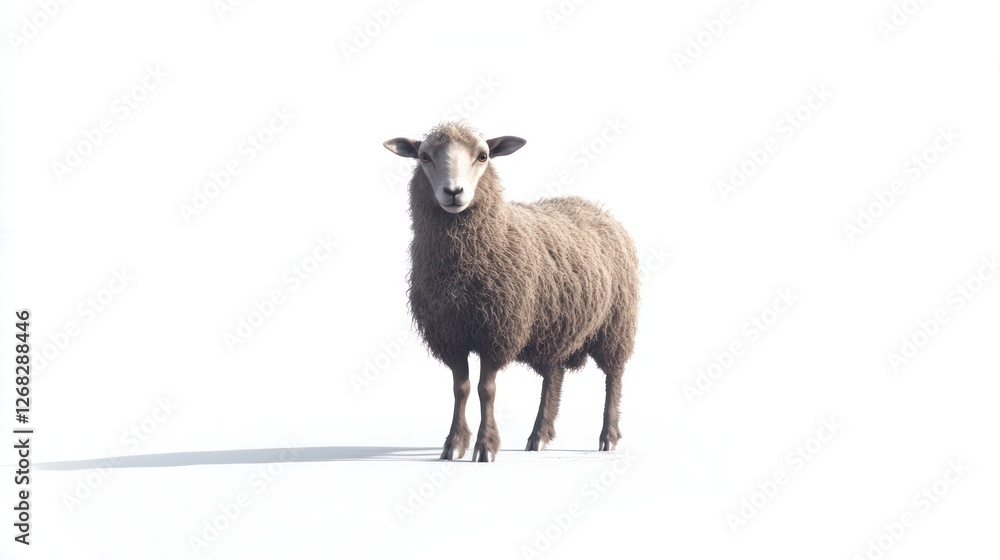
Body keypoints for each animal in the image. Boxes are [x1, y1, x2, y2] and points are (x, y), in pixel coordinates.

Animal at [383, 121, 639, 462]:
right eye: (424, 157)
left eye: (483, 156)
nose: (453, 192)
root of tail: (596, 208)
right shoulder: (451, 334)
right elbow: (461, 388)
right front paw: (454, 444)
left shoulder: (498, 330)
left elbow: (485, 389)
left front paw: (485, 447)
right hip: (554, 324)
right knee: (554, 376)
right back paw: (539, 436)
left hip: (615, 324)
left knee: (613, 377)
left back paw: (608, 437)